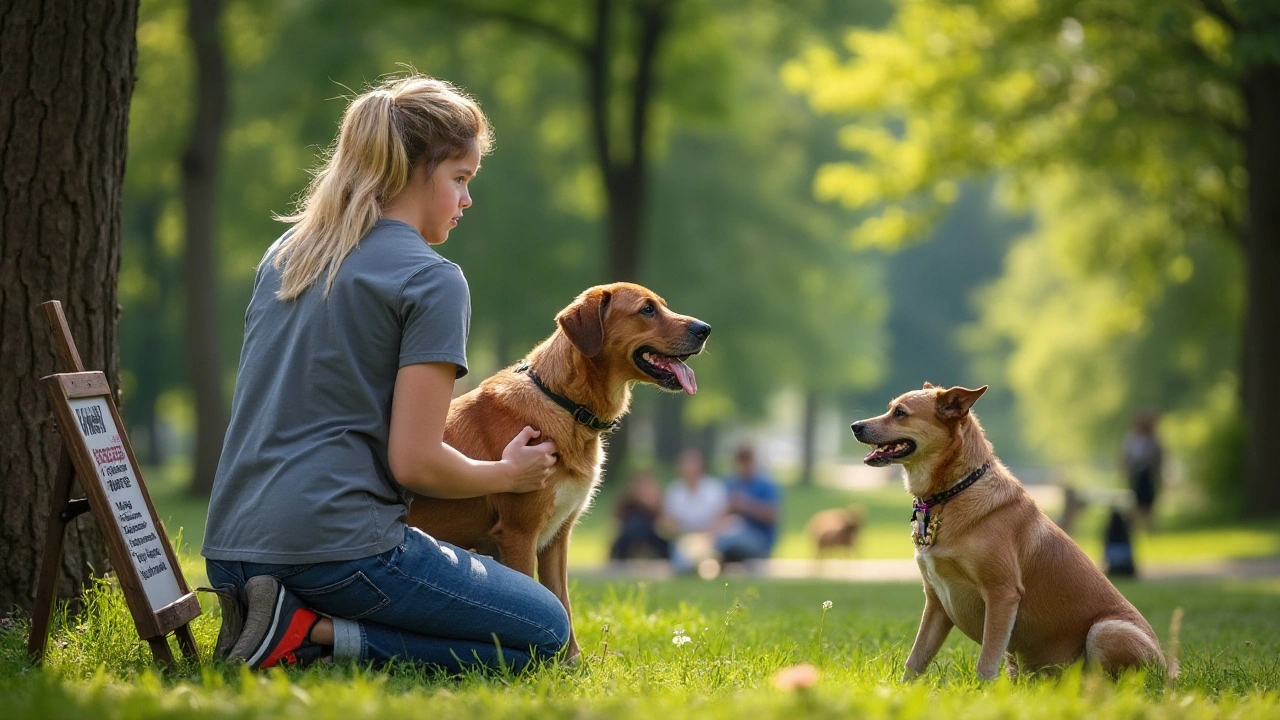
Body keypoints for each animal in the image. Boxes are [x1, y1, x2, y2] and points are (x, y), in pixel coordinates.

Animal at [407, 280, 711, 655]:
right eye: (647, 309)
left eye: (663, 306)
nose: (705, 329)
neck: (566, 404)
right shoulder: (519, 533)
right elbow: (542, 598)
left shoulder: (557, 536)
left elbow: (562, 603)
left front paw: (571, 663)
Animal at [849, 384, 1162, 676]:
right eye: (891, 409)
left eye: (900, 413)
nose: (855, 426)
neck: (953, 492)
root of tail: (1167, 669)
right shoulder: (937, 601)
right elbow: (915, 661)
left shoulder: (1002, 593)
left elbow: (986, 664)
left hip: (1105, 630)